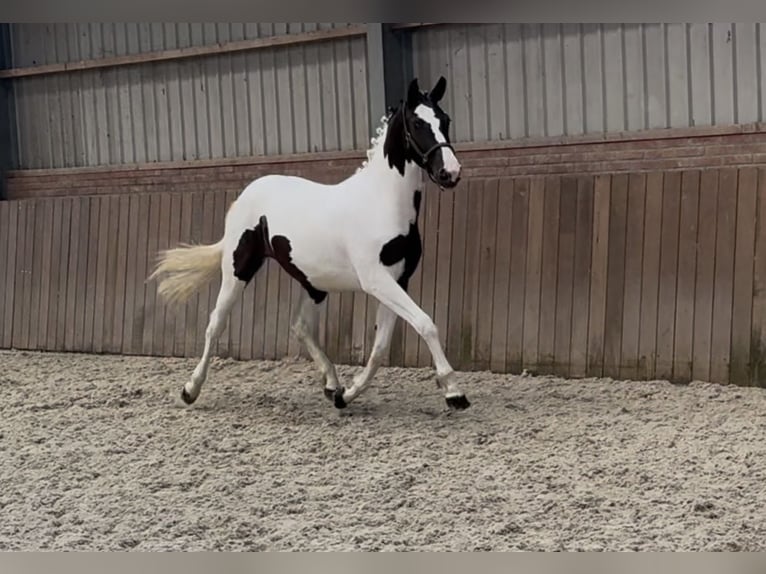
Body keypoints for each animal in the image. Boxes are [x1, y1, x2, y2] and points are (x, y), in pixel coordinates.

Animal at [150, 76, 471, 412]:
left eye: (445, 120)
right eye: (418, 123)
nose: (450, 173)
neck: (382, 203)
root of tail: (247, 194)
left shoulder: (398, 280)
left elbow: (380, 347)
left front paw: (347, 394)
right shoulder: (376, 280)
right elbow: (425, 323)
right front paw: (454, 392)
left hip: (313, 283)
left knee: (300, 326)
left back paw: (332, 384)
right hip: (239, 269)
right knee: (216, 324)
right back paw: (190, 389)